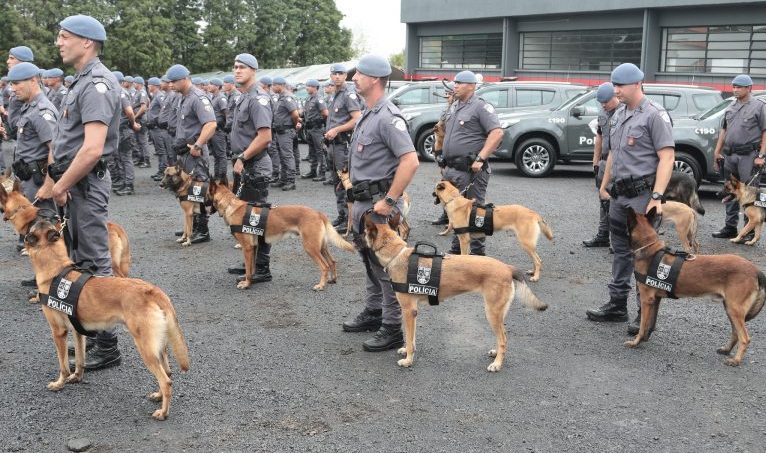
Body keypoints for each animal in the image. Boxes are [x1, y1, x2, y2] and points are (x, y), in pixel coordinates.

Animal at [22, 217, 190, 418]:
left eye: (31, 228)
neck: (56, 269)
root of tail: (153, 291)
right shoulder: (78, 332)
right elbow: (80, 359)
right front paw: (77, 377)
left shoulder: (58, 332)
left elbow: (63, 365)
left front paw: (59, 383)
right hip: (158, 347)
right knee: (168, 373)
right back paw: (158, 396)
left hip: (145, 348)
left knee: (166, 380)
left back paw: (163, 412)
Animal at [207, 180, 356, 290]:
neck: (230, 205)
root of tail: (318, 213)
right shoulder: (253, 247)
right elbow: (252, 268)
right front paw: (251, 281)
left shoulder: (247, 248)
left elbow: (248, 270)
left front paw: (246, 284)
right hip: (321, 247)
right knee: (332, 262)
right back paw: (332, 279)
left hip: (310, 247)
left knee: (324, 266)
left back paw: (320, 285)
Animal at [364, 215, 548, 370]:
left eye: (364, 232)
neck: (396, 254)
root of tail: (507, 268)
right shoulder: (413, 312)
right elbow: (412, 337)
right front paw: (407, 350)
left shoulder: (409, 310)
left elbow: (409, 338)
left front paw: (408, 360)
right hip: (497, 314)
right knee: (503, 337)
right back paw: (496, 354)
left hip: (492, 312)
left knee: (502, 339)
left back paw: (497, 364)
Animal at [628, 207, 764, 366]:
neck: (650, 249)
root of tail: (755, 270)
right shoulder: (655, 300)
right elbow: (650, 323)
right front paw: (645, 338)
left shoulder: (646, 299)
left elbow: (643, 324)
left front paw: (636, 341)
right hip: (730, 309)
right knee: (736, 333)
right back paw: (726, 350)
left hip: (734, 309)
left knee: (745, 337)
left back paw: (736, 360)